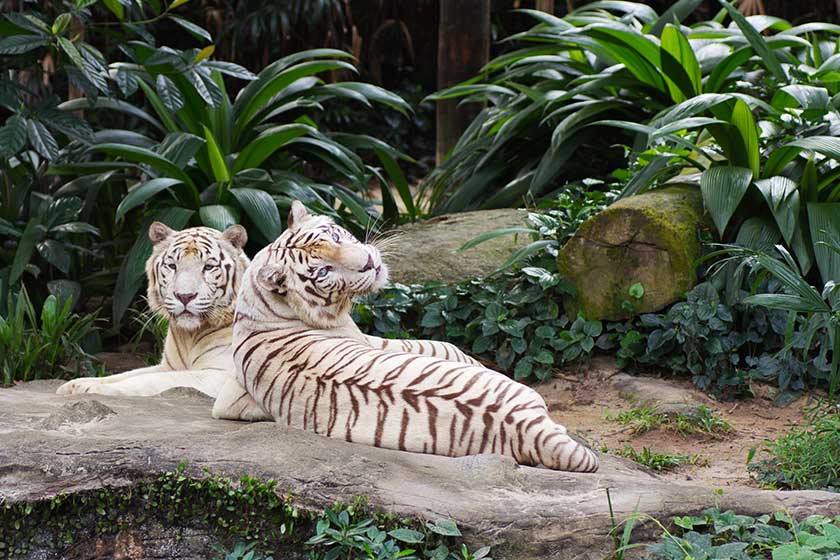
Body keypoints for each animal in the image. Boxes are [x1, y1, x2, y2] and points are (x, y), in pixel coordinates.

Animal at [57, 222, 263, 406]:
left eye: (208, 267)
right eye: (172, 266)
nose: (184, 296)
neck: (189, 336)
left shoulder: (219, 374)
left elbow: (148, 381)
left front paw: (92, 389)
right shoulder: (167, 366)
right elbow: (127, 374)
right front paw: (73, 385)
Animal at [213, 201, 599, 472]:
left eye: (335, 236)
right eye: (322, 272)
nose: (369, 263)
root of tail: (526, 427)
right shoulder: (372, 340)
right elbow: (443, 345)